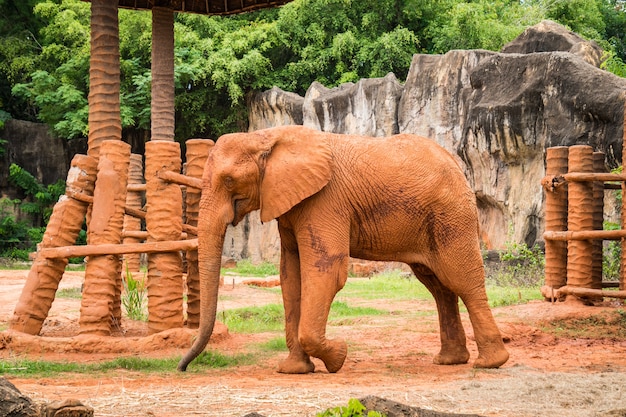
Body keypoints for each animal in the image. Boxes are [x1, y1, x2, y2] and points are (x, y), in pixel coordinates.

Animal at [177, 125, 508, 372]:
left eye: (229, 181)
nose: (182, 367)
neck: (266, 135)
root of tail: (457, 165)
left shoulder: (324, 200)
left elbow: (325, 270)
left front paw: (339, 356)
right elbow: (290, 276)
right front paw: (295, 370)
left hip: (451, 214)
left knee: (461, 279)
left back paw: (490, 363)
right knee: (438, 286)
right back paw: (450, 361)